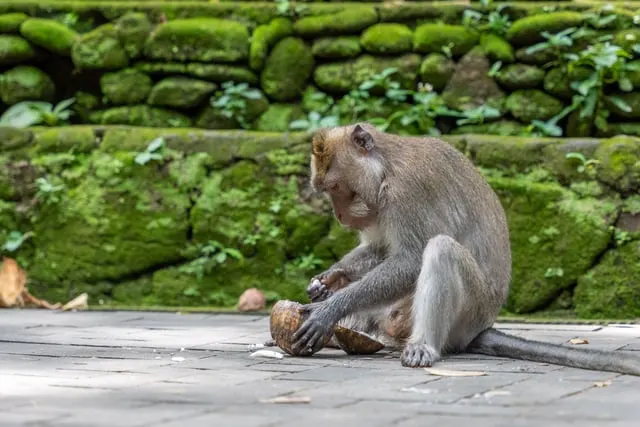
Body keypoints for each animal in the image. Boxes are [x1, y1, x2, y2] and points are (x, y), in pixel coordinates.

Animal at [290, 122, 640, 376]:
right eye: (326, 191)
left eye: (336, 188)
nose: (339, 215)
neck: (386, 167)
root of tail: (482, 326)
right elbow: (380, 248)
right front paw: (328, 280)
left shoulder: (407, 192)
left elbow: (410, 260)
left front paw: (330, 309)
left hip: (468, 312)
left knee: (441, 250)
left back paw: (423, 347)